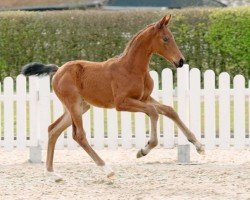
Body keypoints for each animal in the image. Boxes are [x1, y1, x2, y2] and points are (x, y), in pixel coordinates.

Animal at [21, 15, 204, 181]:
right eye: (165, 39)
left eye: (172, 37)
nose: (181, 61)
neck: (132, 68)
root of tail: (58, 70)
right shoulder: (122, 103)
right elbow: (153, 112)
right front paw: (143, 150)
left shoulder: (144, 98)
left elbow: (169, 110)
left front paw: (199, 146)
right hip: (74, 105)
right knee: (78, 135)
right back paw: (107, 169)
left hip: (80, 107)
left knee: (53, 130)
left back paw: (52, 173)